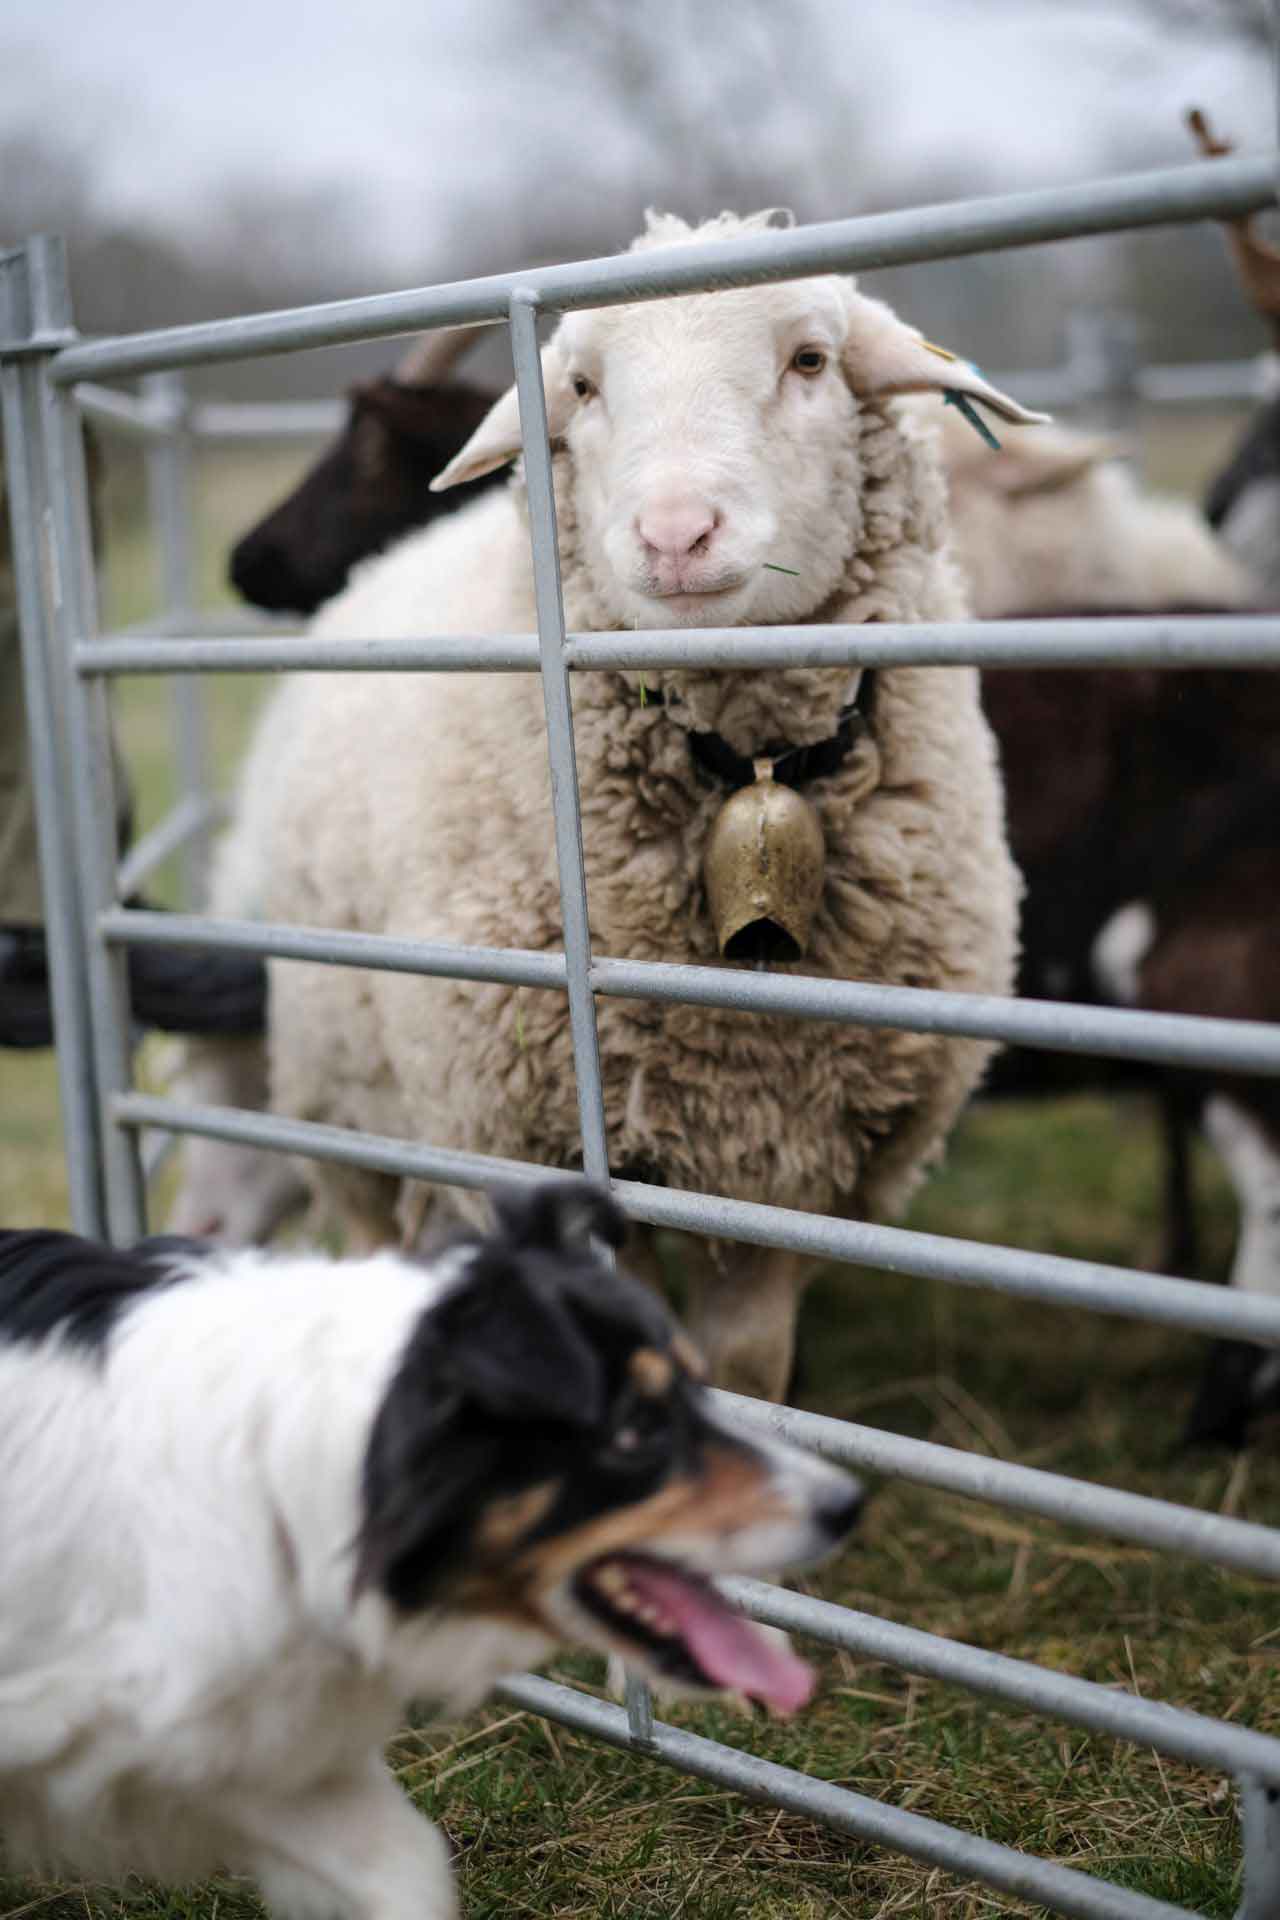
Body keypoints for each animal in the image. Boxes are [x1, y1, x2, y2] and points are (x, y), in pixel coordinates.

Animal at [167, 210, 1051, 1397]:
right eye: (582, 387)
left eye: (810, 360)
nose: (674, 536)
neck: (746, 765)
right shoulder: (521, 1139)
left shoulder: (801, 1165)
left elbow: (746, 1362)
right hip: (337, 1085)